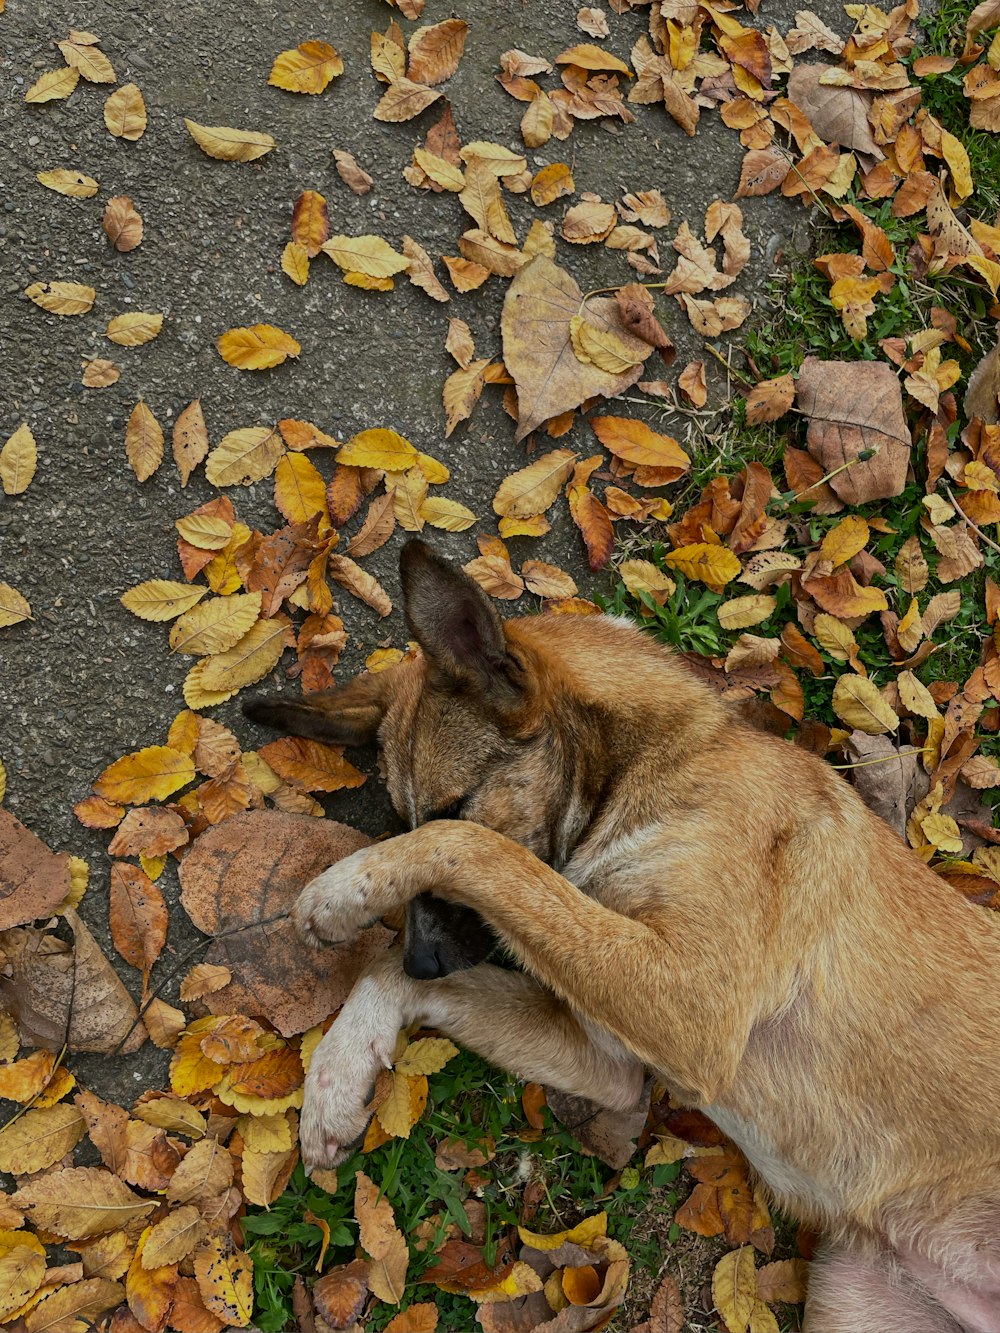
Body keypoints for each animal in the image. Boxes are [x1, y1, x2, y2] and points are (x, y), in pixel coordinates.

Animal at [246, 541, 1000, 1333]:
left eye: (451, 805)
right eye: (398, 817)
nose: (425, 957)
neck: (648, 764)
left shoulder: (688, 1002)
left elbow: (481, 852)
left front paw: (343, 889)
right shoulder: (609, 1059)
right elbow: (392, 970)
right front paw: (335, 1077)